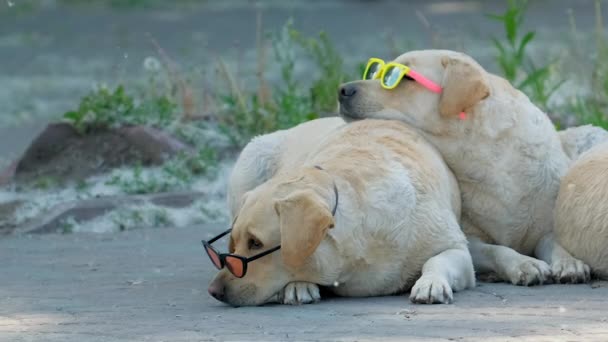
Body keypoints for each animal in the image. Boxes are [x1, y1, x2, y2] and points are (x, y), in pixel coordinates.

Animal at [208, 118, 476, 308]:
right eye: (235, 243)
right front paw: (298, 284)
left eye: (255, 243)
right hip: (250, 159)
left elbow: (437, 260)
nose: (214, 291)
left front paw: (431, 283)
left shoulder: (457, 250)